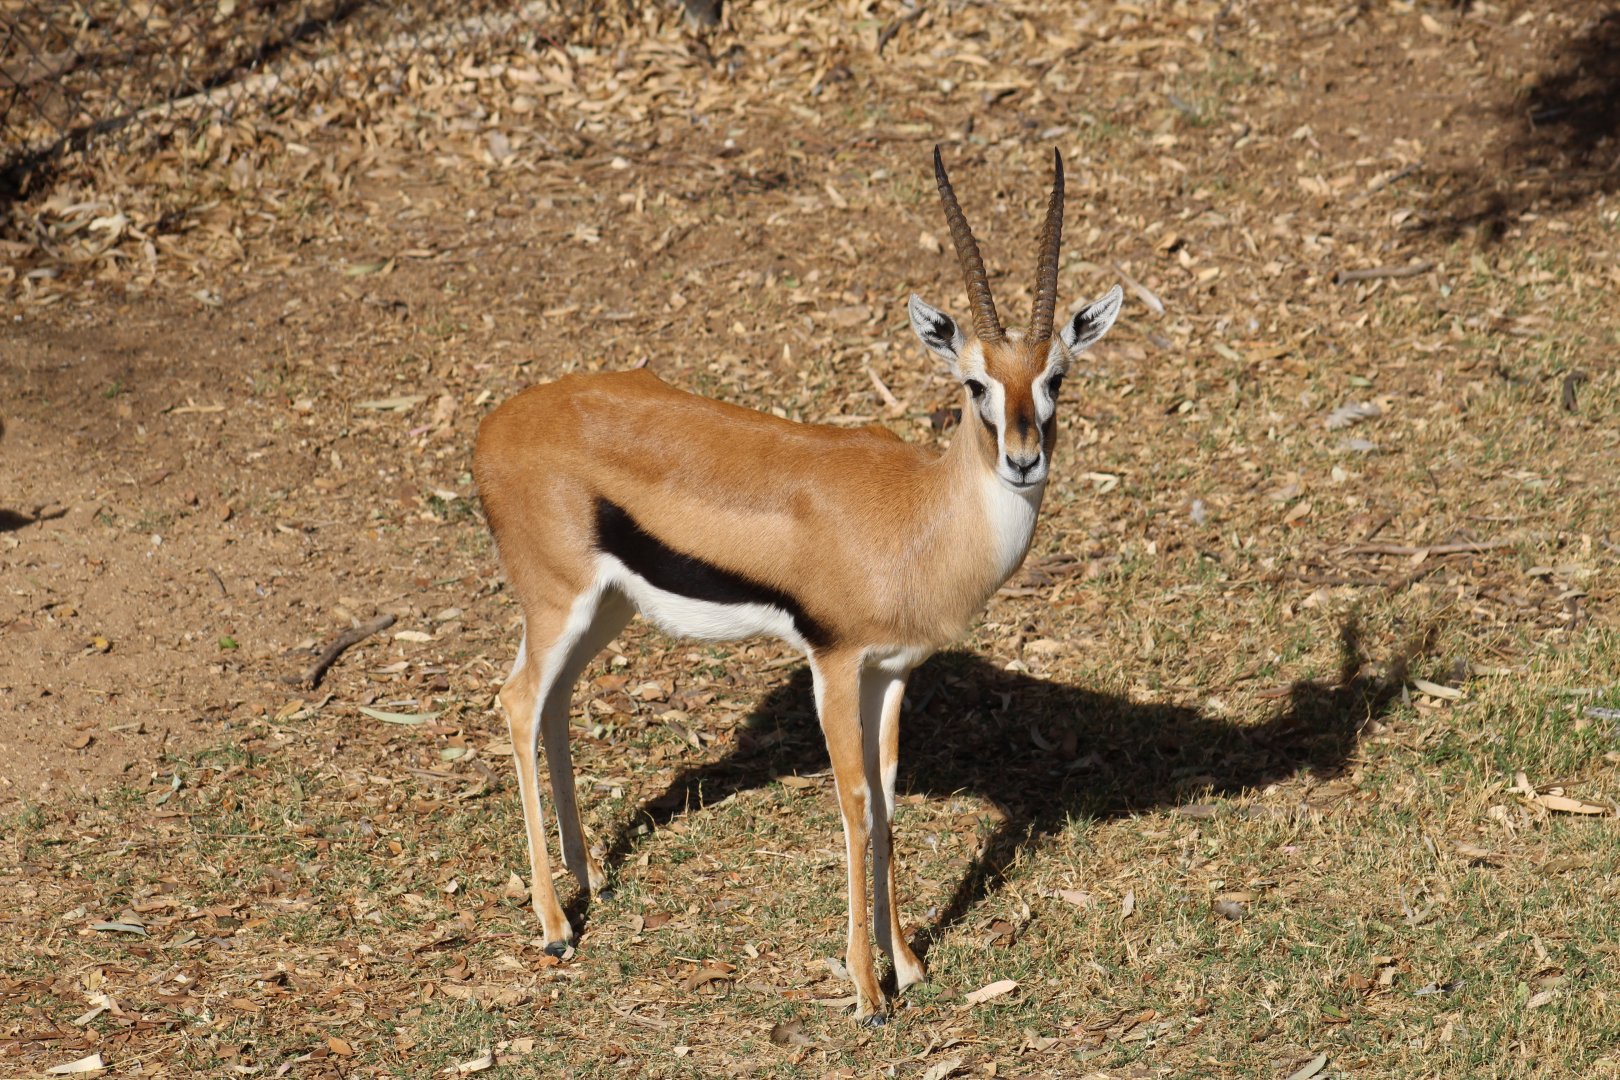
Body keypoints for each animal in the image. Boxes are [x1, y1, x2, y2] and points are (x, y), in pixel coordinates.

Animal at [473, 147, 1122, 1023]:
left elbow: (886, 800)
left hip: (607, 607)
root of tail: (493, 428)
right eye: (975, 384)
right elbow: (853, 803)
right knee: (517, 700)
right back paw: (553, 926)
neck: (919, 516)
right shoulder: (835, 663)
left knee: (555, 702)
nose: (1024, 460)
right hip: (559, 600)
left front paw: (908, 963)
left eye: (1056, 376)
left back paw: (592, 879)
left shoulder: (890, 673)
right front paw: (868, 991)